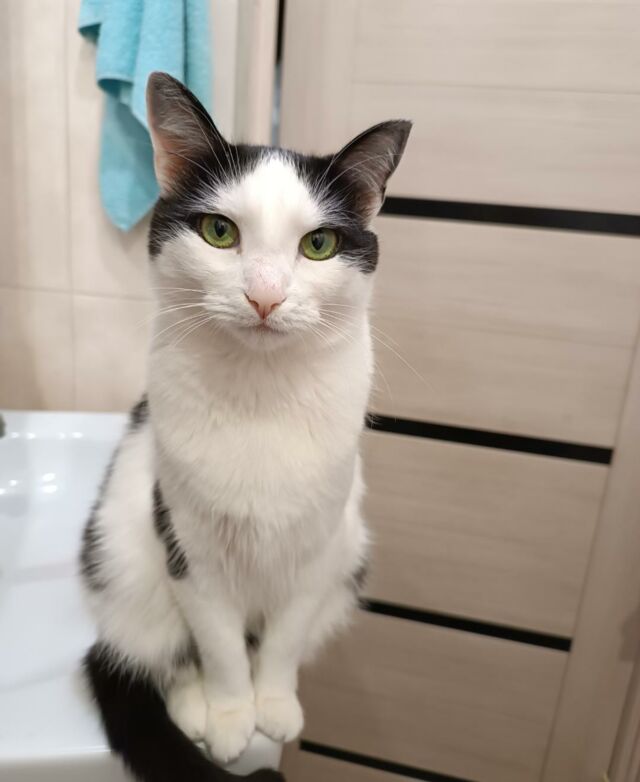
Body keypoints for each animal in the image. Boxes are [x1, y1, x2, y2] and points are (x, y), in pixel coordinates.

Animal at [80, 71, 410, 782]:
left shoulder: (320, 550)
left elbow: (282, 640)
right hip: (125, 551)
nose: (265, 295)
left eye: (319, 244)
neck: (261, 394)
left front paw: (274, 706)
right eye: (218, 231)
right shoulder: (188, 550)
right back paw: (193, 708)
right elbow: (221, 647)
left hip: (351, 553)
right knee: (155, 653)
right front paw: (233, 717)